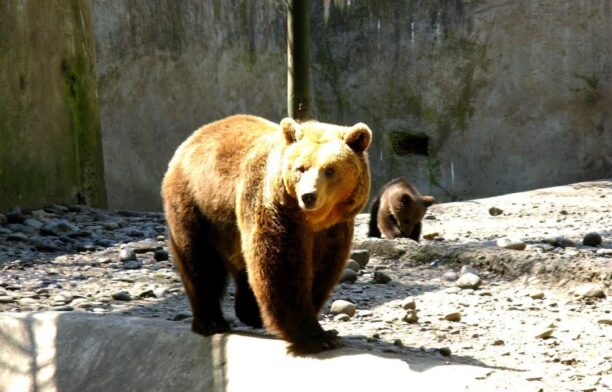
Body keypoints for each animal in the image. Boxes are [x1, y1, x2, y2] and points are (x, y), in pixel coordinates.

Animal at [163, 115, 370, 354]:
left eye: (330, 169)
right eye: (301, 168)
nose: (308, 196)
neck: (312, 220)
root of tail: (194, 138)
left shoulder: (333, 230)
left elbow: (322, 269)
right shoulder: (273, 208)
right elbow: (281, 267)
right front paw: (318, 337)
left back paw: (249, 311)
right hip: (195, 205)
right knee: (200, 262)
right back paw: (211, 321)